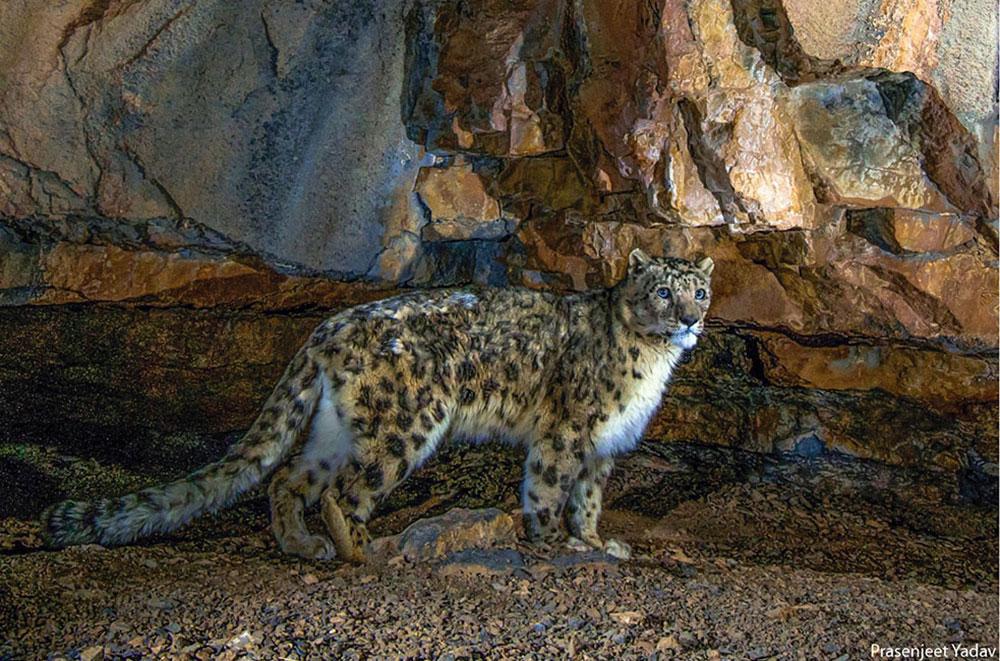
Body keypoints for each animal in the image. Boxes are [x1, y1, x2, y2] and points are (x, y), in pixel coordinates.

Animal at [43, 249, 714, 562]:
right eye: (663, 291)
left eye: (700, 290)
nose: (690, 318)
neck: (651, 363)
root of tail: (327, 326)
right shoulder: (567, 432)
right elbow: (549, 490)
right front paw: (556, 545)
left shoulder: (605, 446)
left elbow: (589, 498)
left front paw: (597, 541)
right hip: (406, 424)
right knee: (346, 491)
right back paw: (366, 549)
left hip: (335, 429)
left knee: (289, 478)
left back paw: (301, 546)